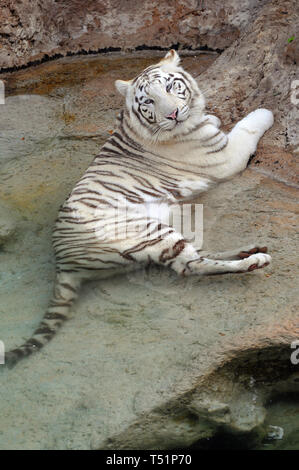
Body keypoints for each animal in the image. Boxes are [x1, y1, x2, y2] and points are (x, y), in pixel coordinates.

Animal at [6, 50, 274, 368]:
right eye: (148, 101)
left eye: (170, 87)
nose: (173, 114)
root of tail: (63, 262)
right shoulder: (226, 156)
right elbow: (247, 126)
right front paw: (266, 111)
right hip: (150, 231)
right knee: (190, 266)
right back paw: (254, 261)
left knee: (197, 253)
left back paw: (250, 249)